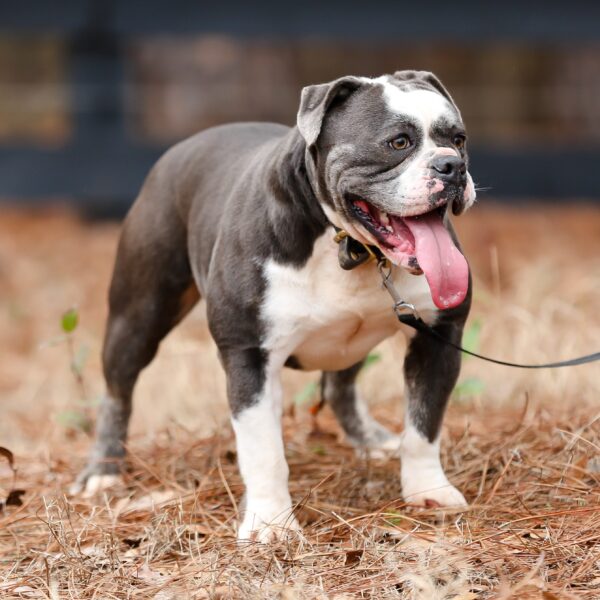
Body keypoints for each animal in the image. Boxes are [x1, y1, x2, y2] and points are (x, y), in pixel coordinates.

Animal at [75, 70, 476, 544]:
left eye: (459, 139)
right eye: (398, 142)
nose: (452, 166)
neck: (347, 247)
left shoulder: (439, 339)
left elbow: (424, 424)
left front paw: (429, 491)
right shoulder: (250, 356)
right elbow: (264, 451)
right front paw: (270, 524)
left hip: (353, 342)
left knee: (339, 386)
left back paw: (370, 439)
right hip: (138, 316)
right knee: (117, 393)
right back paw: (103, 471)